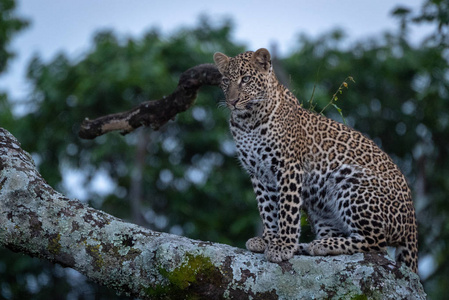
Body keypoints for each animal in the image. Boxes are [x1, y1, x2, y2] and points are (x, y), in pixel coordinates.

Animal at [213, 48, 416, 274]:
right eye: (225, 81)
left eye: (246, 79)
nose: (232, 101)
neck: (247, 121)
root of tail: (412, 224)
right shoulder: (259, 173)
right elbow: (267, 209)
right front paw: (268, 239)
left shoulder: (288, 166)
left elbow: (287, 209)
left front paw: (282, 246)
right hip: (322, 209)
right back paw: (309, 246)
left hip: (348, 179)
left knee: (376, 244)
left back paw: (320, 245)